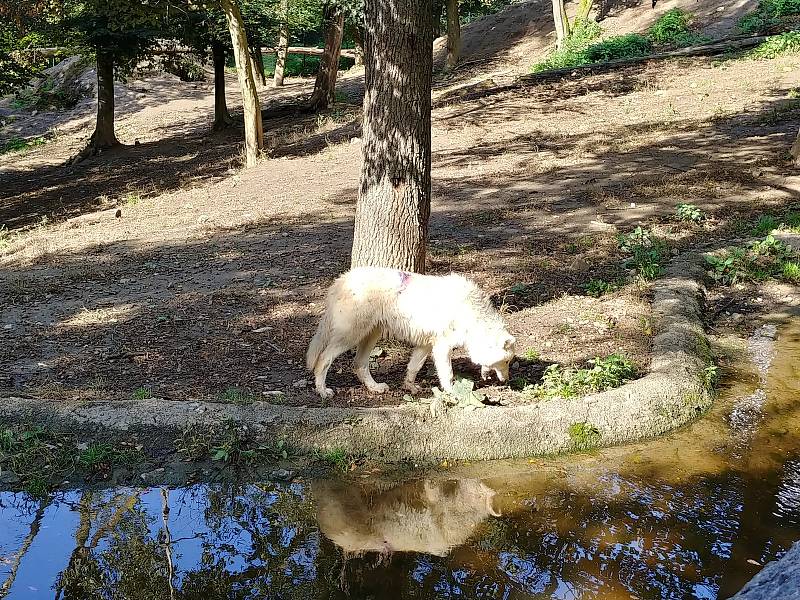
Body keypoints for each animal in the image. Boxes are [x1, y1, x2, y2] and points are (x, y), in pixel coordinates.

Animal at [304, 268, 516, 398]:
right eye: (506, 362)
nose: (506, 381)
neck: (472, 315)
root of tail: (339, 282)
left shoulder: (426, 345)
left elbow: (414, 367)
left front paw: (410, 387)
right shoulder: (442, 347)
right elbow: (447, 374)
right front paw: (453, 393)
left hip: (371, 336)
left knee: (359, 365)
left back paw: (375, 388)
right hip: (350, 336)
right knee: (323, 359)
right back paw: (323, 391)